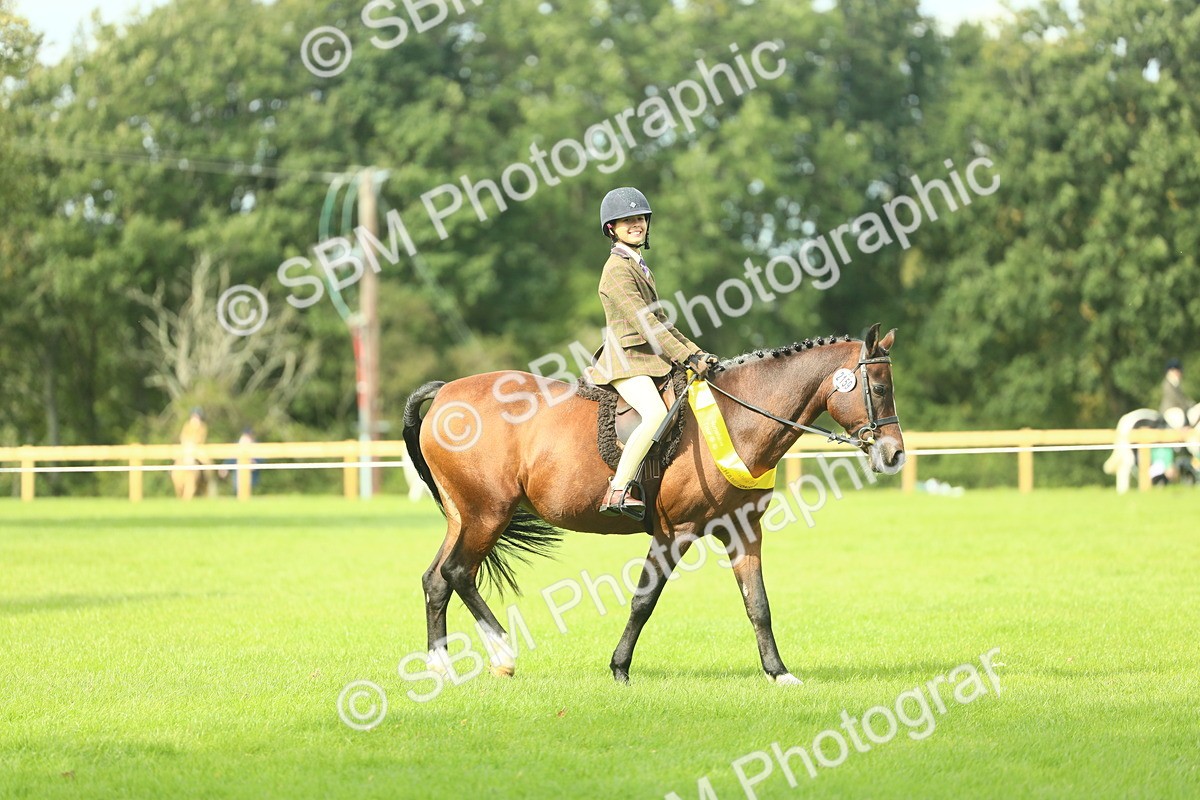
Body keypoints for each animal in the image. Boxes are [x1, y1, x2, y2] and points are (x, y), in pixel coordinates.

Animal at [401, 323, 905, 684]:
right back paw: (503, 656)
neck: (736, 417)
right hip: (489, 514)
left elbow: (757, 603)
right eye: (879, 389)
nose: (894, 455)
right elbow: (644, 600)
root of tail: (446, 392)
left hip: (464, 516)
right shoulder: (674, 532)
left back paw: (441, 668)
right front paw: (620, 669)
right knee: (457, 573)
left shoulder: (744, 530)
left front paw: (779, 674)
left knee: (435, 579)